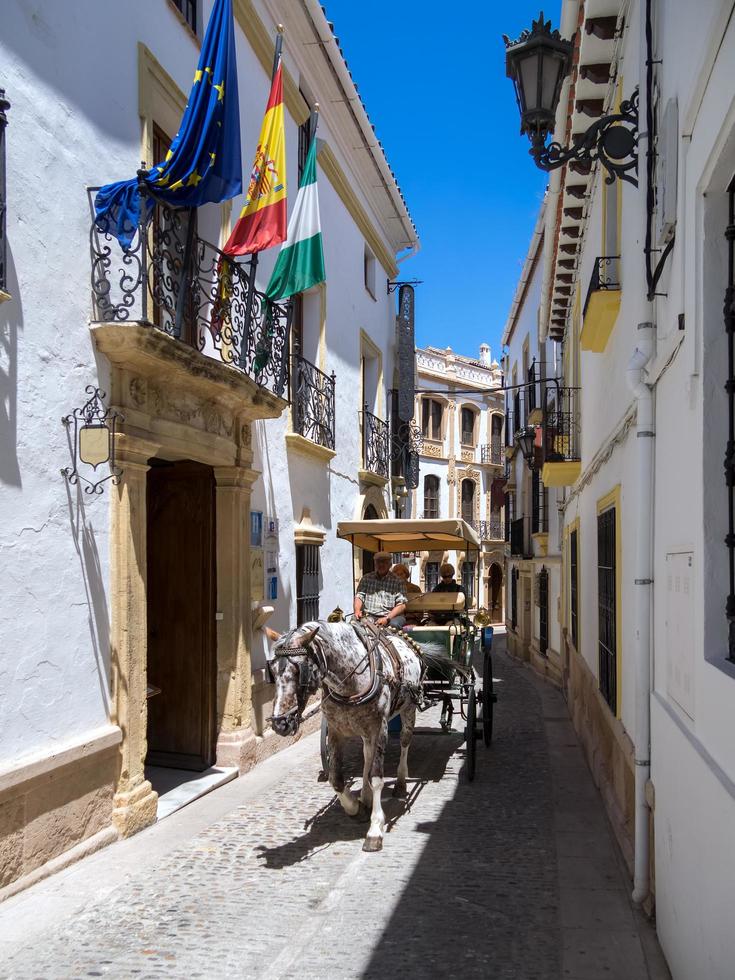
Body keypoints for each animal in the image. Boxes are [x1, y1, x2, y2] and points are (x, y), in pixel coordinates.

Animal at [268, 620, 426, 848]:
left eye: (299, 670)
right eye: (271, 670)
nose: (280, 723)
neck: (351, 680)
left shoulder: (380, 727)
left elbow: (377, 777)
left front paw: (375, 828)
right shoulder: (335, 730)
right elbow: (336, 779)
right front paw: (355, 807)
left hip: (408, 709)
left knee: (405, 743)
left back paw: (400, 782)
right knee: (367, 755)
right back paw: (366, 797)